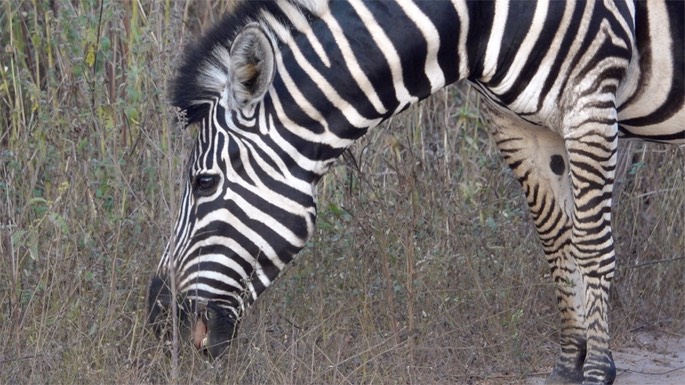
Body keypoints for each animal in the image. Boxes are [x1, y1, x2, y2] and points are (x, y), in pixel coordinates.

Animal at [146, 1, 684, 382]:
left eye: (204, 182)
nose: (159, 322)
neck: (477, 21)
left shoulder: (590, 102)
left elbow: (591, 243)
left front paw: (597, 369)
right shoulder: (516, 121)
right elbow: (557, 240)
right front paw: (570, 362)